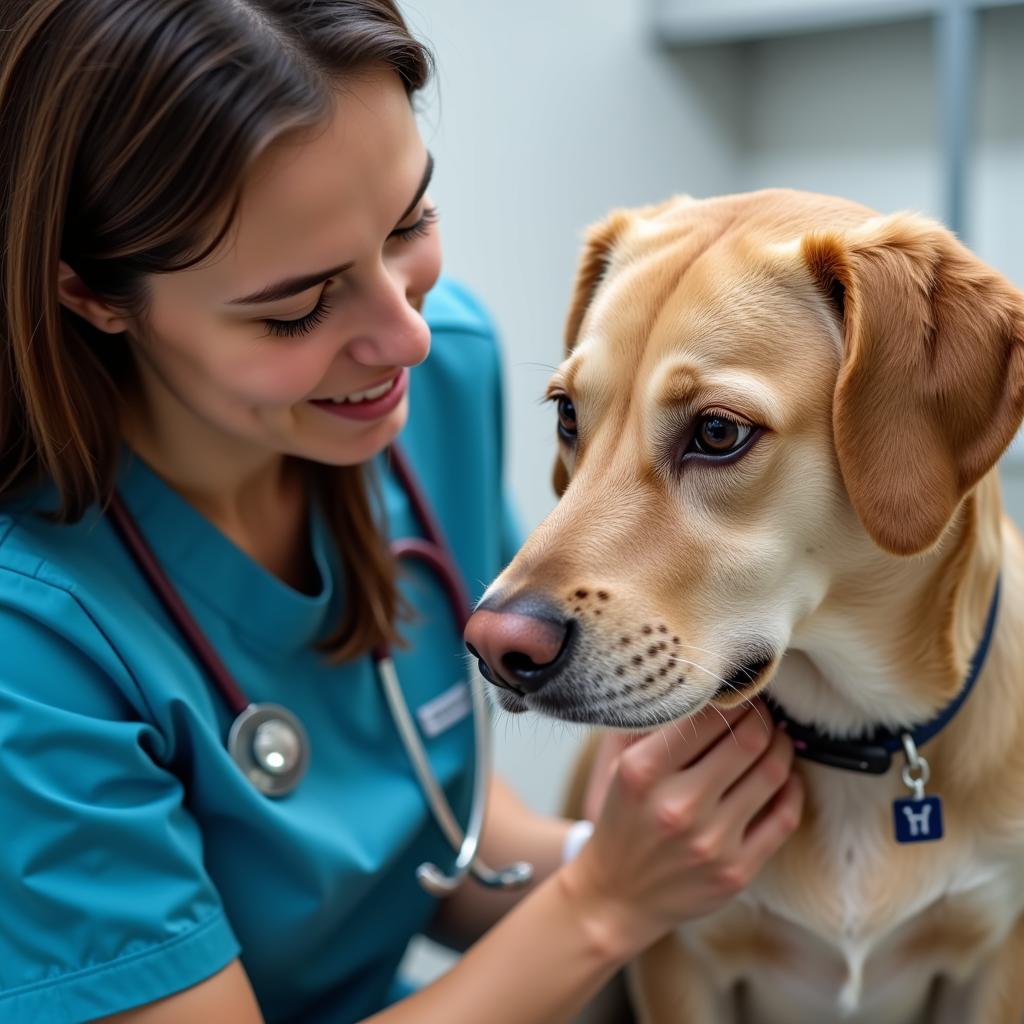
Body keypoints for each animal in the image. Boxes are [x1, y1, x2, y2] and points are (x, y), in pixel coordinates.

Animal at [462, 192, 1024, 1024]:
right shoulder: (678, 962)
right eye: (567, 416)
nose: (495, 647)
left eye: (719, 431)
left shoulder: (995, 961)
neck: (855, 735)